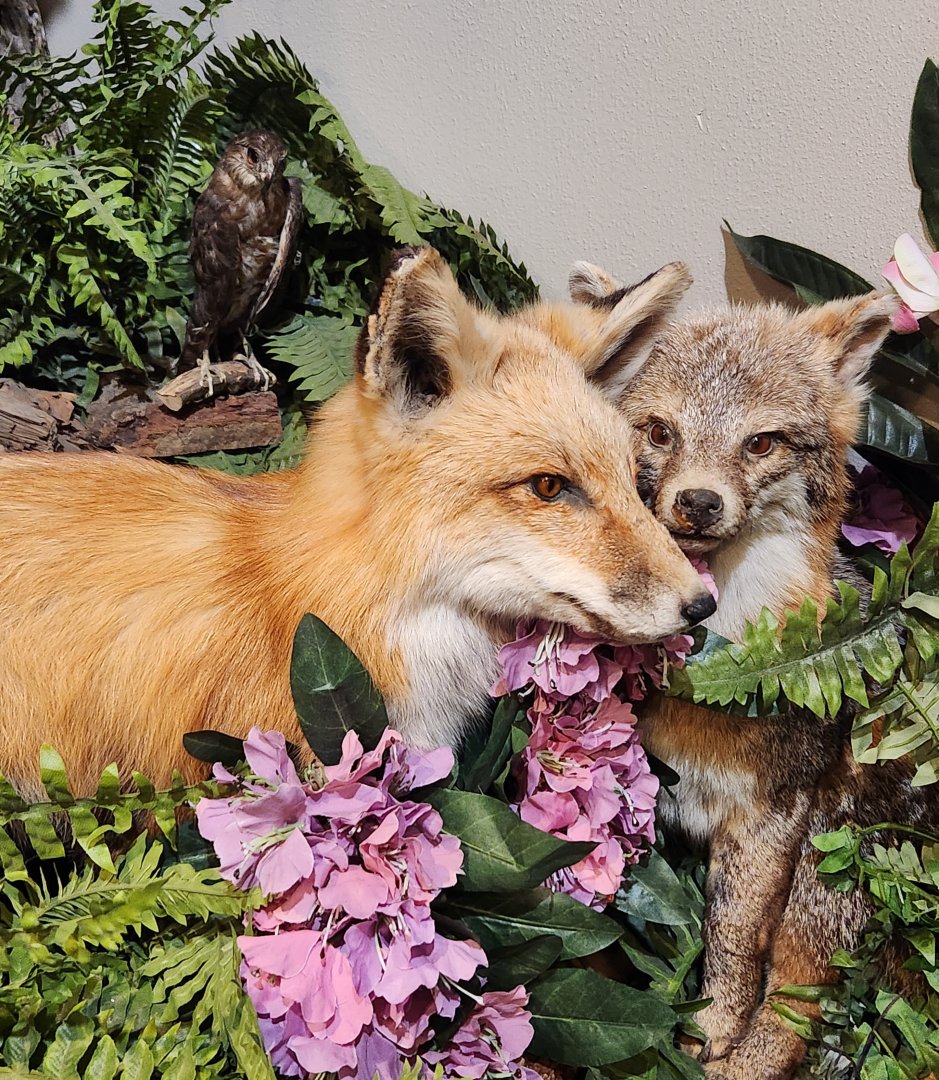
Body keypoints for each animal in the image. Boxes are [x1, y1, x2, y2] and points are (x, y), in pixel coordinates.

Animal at [564, 266, 939, 1079]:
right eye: (659, 431)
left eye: (760, 442)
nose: (699, 502)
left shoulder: (771, 817)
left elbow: (732, 949)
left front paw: (710, 1035)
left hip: (828, 858)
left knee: (800, 1011)